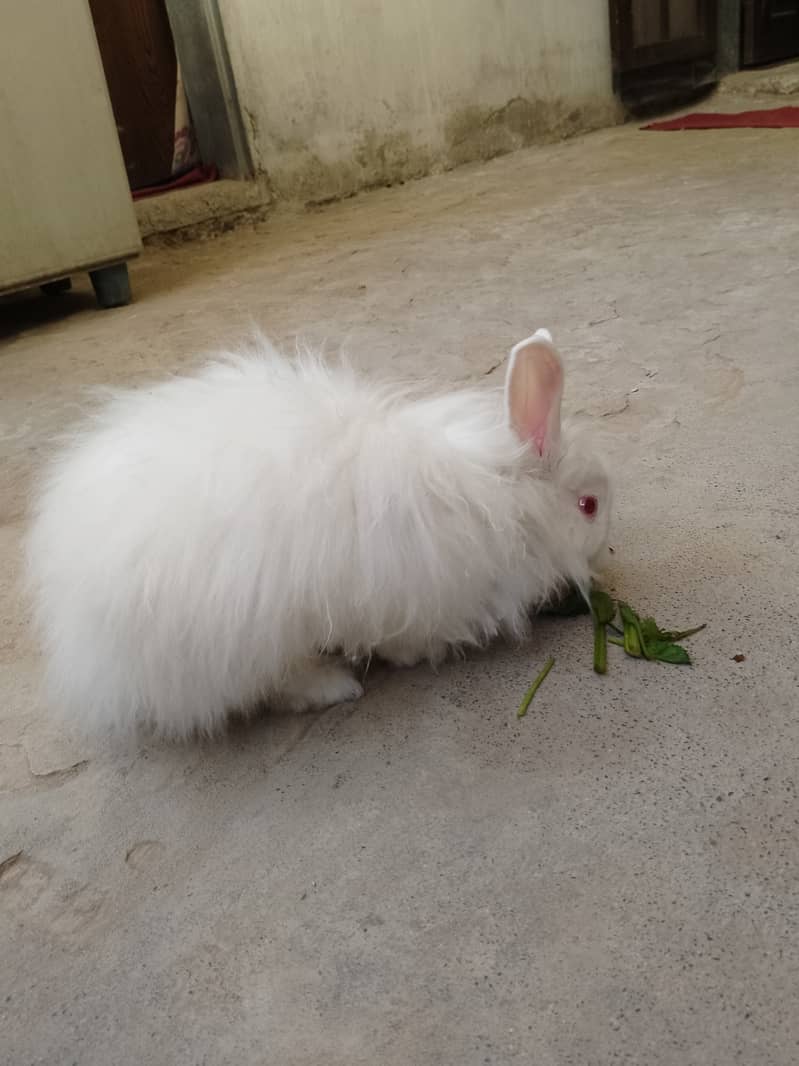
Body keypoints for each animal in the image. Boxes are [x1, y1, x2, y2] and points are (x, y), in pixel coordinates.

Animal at [26, 328, 613, 737]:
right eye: (588, 506)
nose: (604, 543)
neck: (503, 496)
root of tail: (81, 639)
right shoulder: (414, 596)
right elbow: (406, 637)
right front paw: (411, 657)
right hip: (251, 636)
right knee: (276, 684)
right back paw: (335, 687)